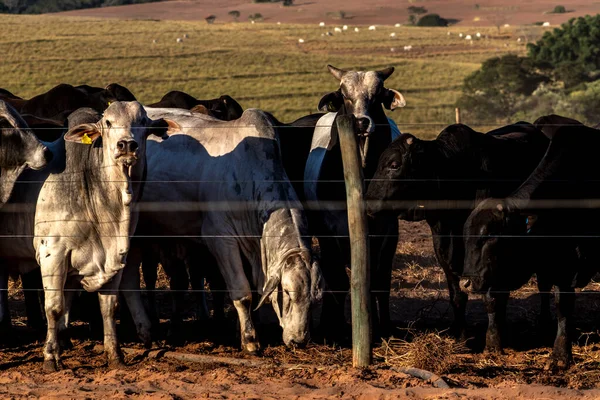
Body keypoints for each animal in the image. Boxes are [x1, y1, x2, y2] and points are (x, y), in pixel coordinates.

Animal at [31, 101, 164, 370]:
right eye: (109, 122)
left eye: (143, 121)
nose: (127, 145)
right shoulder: (52, 253)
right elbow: (54, 307)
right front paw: (50, 356)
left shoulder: (116, 257)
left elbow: (109, 307)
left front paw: (115, 354)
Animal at [118, 107, 324, 354]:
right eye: (288, 294)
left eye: (315, 300)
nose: (299, 340)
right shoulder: (221, 239)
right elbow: (242, 292)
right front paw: (250, 339)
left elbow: (253, 290)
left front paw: (241, 331)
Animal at [364, 122, 552, 346]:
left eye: (394, 164)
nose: (368, 203)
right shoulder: (443, 245)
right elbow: (457, 294)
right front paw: (461, 335)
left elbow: (492, 295)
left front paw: (494, 339)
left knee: (544, 286)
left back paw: (543, 325)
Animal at [464, 115, 600, 368]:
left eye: (488, 235)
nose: (465, 283)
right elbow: (494, 300)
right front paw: (492, 345)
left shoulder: (568, 265)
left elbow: (563, 305)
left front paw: (560, 356)